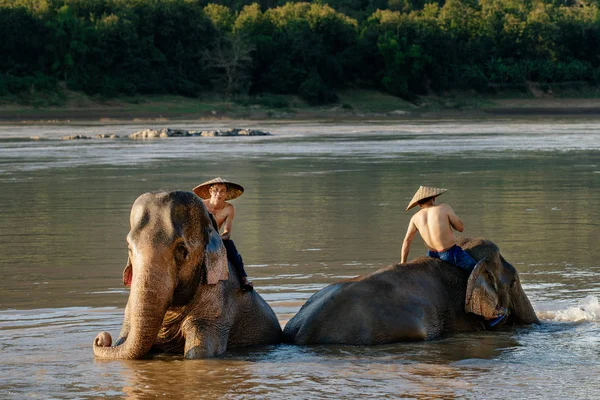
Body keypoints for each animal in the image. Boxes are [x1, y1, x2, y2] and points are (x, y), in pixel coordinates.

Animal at [92, 191, 284, 360]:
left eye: (181, 250)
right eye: (130, 248)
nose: (101, 339)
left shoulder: (217, 308)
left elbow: (198, 354)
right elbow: (123, 339)